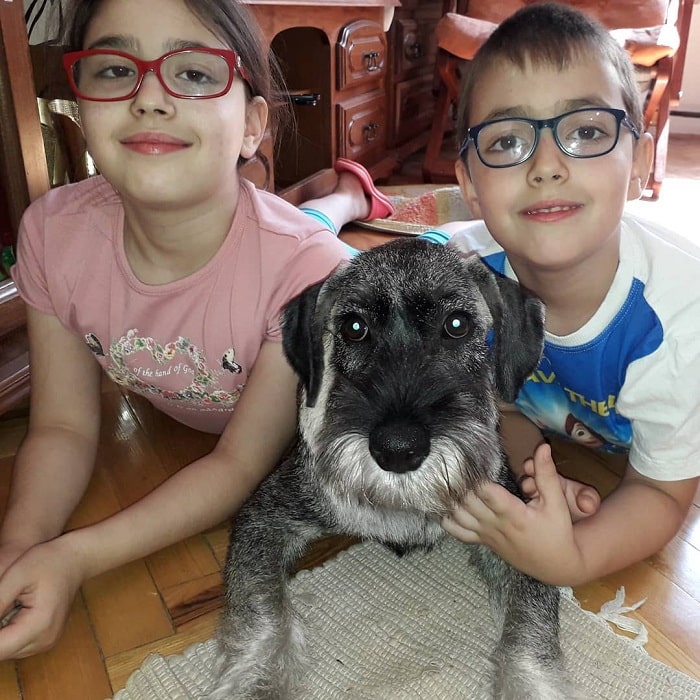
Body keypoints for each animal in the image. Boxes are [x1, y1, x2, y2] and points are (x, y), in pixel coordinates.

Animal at [209, 238, 576, 696]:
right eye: (354, 327)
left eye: (457, 324)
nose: (398, 449)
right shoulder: (267, 516)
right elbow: (262, 614)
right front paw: (255, 685)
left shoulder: (517, 534)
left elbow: (527, 636)